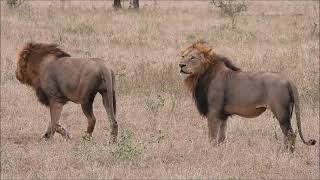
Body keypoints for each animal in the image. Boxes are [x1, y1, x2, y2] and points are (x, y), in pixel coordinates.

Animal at [179, 40, 316, 152]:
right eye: (183, 56)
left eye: (192, 58)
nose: (181, 65)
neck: (200, 76)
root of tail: (288, 80)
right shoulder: (223, 115)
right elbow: (221, 138)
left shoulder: (213, 112)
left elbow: (212, 137)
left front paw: (211, 151)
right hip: (288, 112)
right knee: (287, 134)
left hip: (281, 112)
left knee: (290, 134)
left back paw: (287, 154)